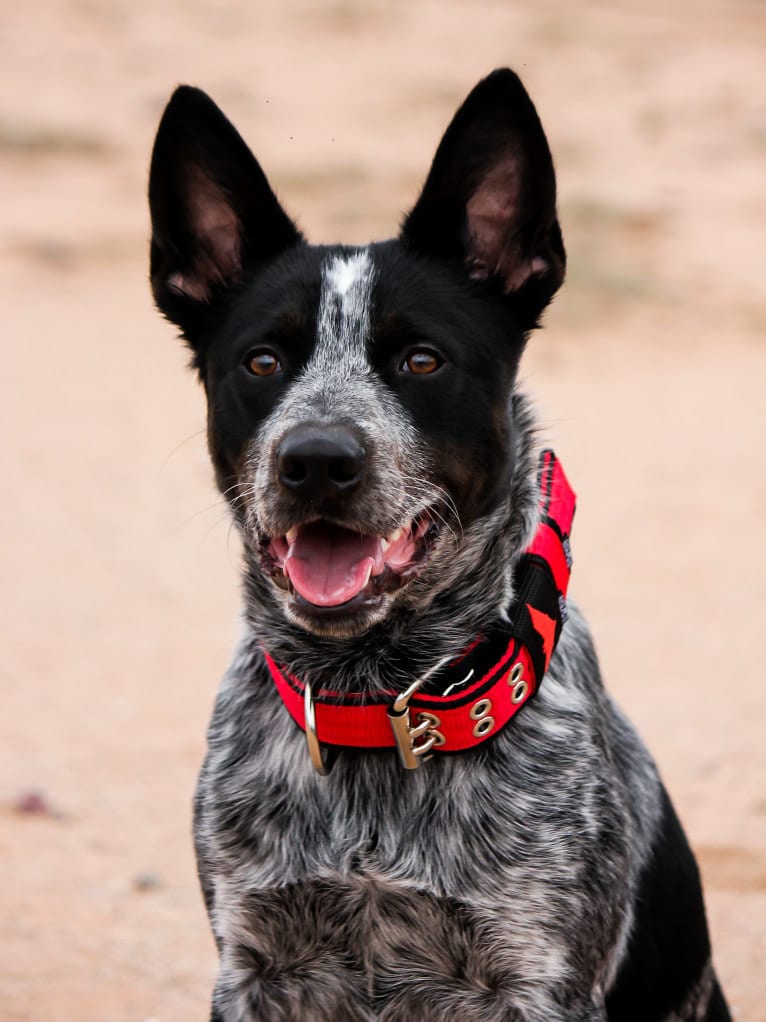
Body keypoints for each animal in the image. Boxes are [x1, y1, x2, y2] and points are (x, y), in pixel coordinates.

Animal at [148, 67, 731, 1017]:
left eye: (422, 360)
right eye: (263, 362)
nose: (317, 460)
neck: (375, 699)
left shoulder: (537, 978)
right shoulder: (253, 967)